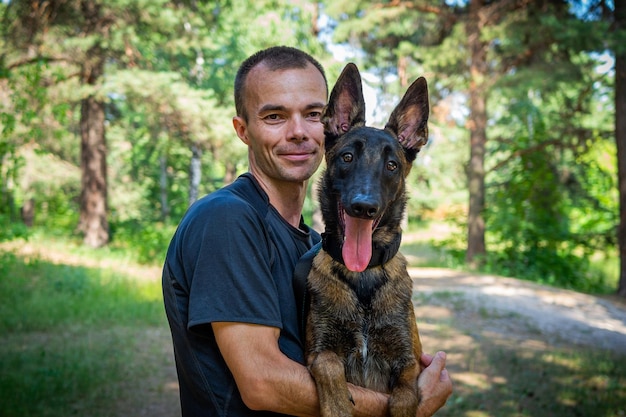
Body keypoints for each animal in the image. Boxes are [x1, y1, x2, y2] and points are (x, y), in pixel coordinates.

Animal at [304, 62, 428, 416]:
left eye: (392, 165)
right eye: (347, 157)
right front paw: (338, 405)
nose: (363, 206)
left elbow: (404, 398)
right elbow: (330, 367)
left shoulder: (410, 364)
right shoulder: (317, 352)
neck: (363, 277)